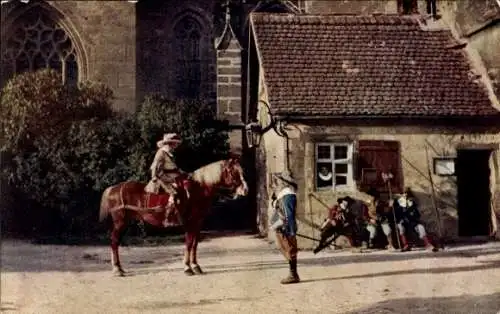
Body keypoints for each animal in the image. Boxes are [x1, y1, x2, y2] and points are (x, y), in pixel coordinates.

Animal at [97, 157, 248, 274]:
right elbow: (189, 243)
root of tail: (113, 188)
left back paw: (119, 268)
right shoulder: (190, 223)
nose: (245, 189)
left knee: (116, 242)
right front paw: (187, 267)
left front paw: (195, 266)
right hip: (120, 222)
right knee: (114, 241)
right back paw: (117, 269)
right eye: (234, 172)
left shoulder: (198, 223)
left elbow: (194, 244)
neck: (198, 189)